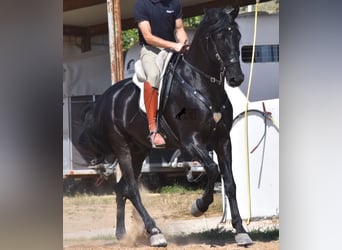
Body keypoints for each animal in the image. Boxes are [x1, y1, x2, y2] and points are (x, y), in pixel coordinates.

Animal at [79, 6, 252, 247]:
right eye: (217, 36)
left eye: (237, 35)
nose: (236, 78)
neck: (202, 85)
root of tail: (105, 99)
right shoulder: (190, 142)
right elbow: (212, 169)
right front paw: (198, 206)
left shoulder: (222, 140)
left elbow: (230, 182)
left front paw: (241, 231)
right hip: (122, 148)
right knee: (132, 189)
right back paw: (155, 232)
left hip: (139, 150)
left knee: (121, 188)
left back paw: (122, 234)